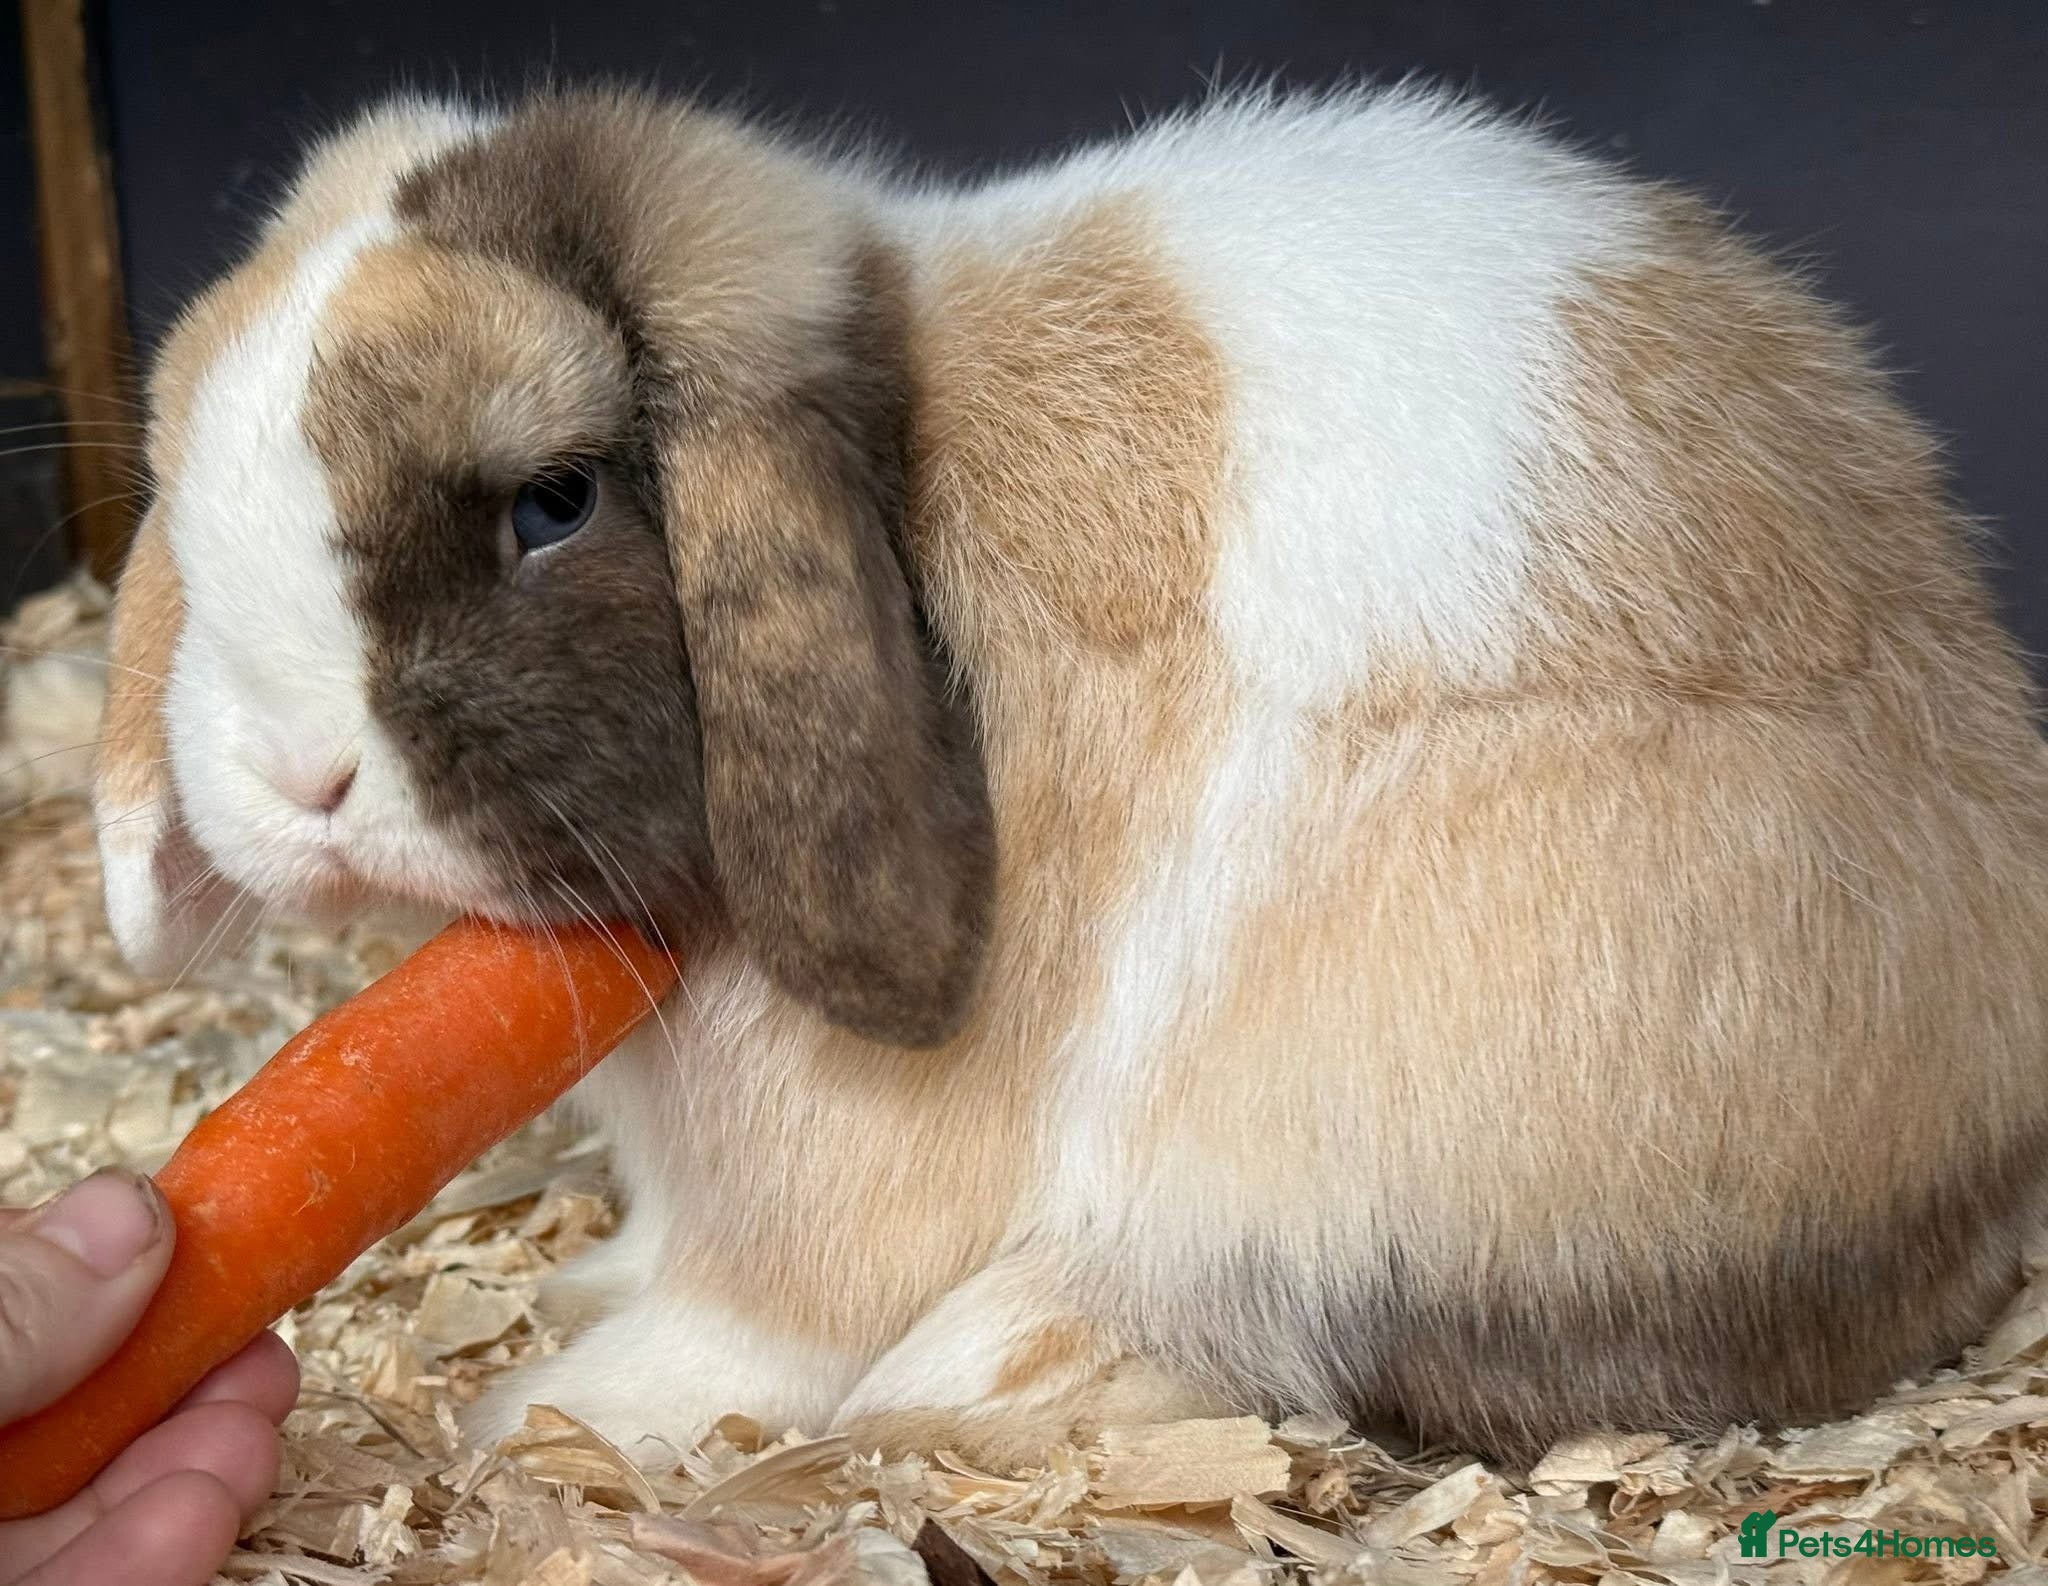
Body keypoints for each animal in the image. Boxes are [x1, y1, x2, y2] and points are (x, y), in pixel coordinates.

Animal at [92, 82, 2048, 1469]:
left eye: (551, 502)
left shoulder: (844, 1152)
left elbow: (765, 1306)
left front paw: (564, 1413)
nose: (296, 779)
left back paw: (994, 1363)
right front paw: (593, 1282)